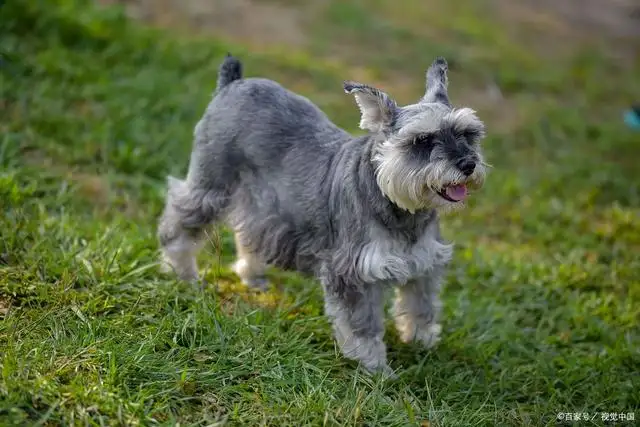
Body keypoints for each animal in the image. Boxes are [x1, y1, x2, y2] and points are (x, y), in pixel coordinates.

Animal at [158, 54, 488, 378]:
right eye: (422, 140)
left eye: (468, 134)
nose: (467, 164)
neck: (400, 207)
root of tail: (233, 83)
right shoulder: (352, 274)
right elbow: (363, 327)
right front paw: (374, 368)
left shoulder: (424, 267)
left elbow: (421, 309)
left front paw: (422, 344)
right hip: (210, 188)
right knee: (178, 223)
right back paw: (182, 273)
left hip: (261, 204)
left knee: (248, 233)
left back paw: (252, 276)